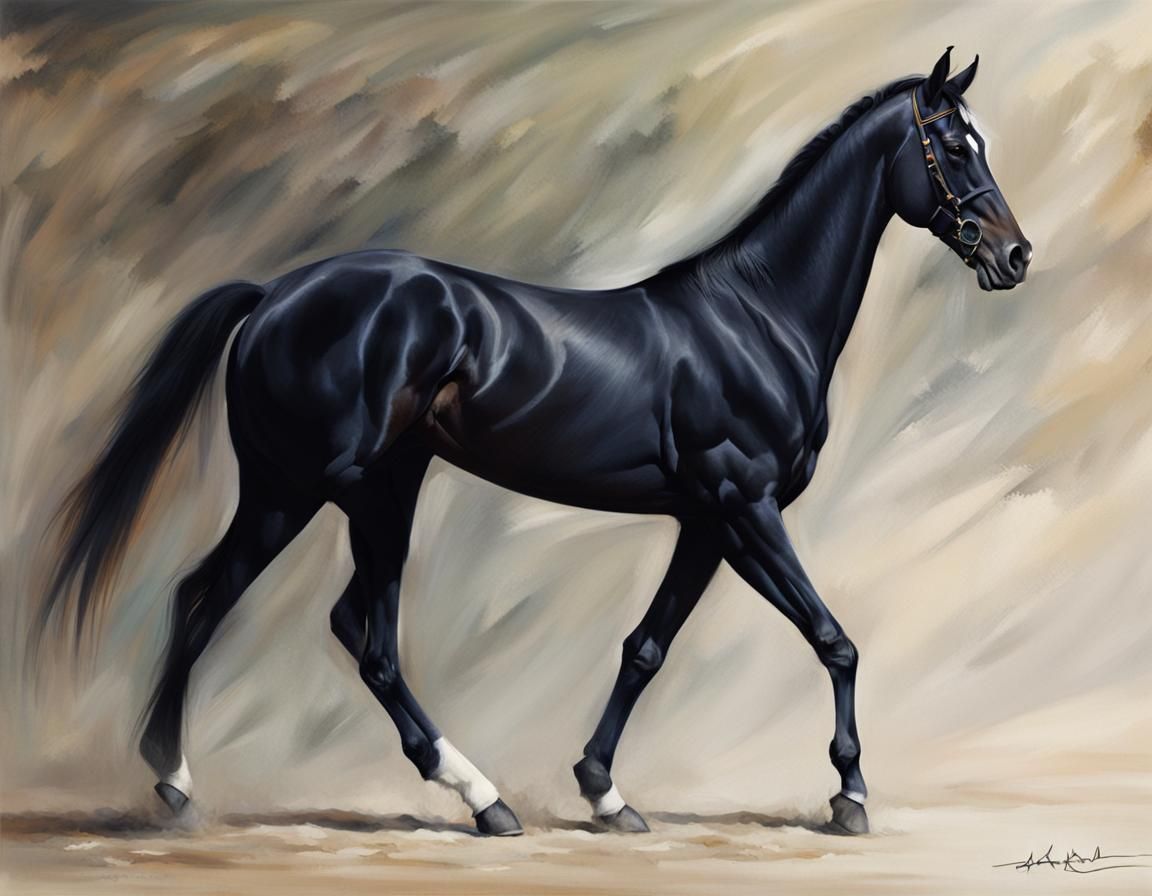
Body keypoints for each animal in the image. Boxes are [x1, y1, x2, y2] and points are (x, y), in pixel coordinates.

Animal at [39, 47, 1030, 838]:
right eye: (952, 145)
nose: (1014, 256)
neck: (755, 319)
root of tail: (275, 294)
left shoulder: (707, 522)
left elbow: (646, 647)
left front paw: (604, 792)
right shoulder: (744, 506)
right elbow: (835, 639)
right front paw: (851, 796)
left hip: (374, 486)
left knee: (343, 627)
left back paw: (471, 795)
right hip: (307, 486)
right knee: (237, 605)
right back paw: (199, 785)